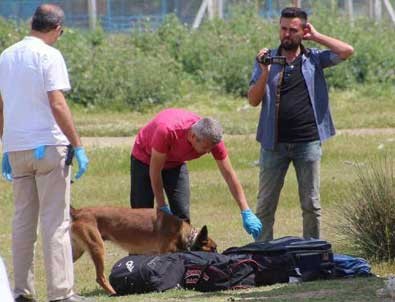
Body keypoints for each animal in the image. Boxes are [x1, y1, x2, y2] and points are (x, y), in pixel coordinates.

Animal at [68, 206, 217, 294]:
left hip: (77, 252)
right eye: (213, 248)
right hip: (97, 248)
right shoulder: (164, 252)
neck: (183, 233)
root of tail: (78, 211)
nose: (219, 255)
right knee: (100, 277)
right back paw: (113, 293)